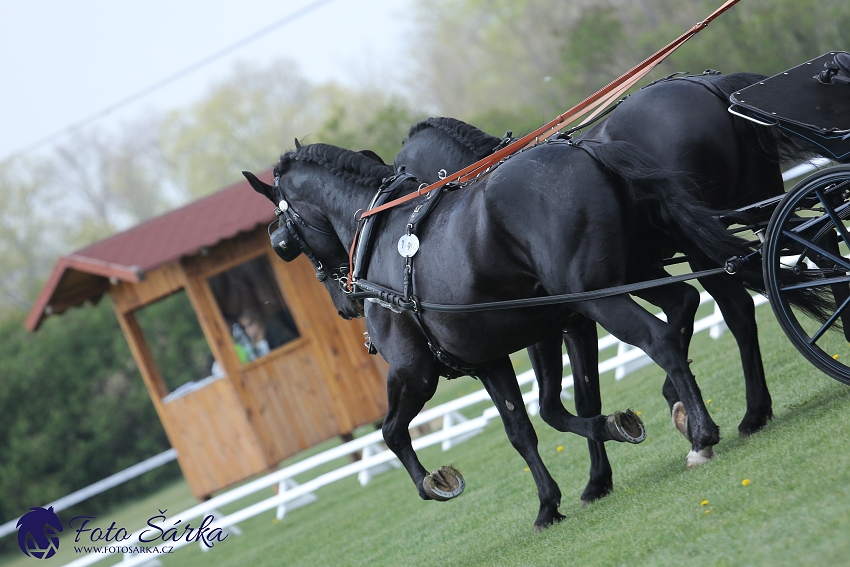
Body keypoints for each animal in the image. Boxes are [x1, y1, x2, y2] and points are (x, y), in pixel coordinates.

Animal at [242, 136, 760, 528]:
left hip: (599, 296)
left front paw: (434, 483)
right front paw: (554, 498)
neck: (383, 235)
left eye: (281, 243)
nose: (344, 301)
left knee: (661, 339)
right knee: (685, 303)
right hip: (631, 274)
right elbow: (526, 426)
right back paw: (685, 406)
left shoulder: (413, 372)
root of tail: (586, 149)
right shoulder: (491, 358)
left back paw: (701, 435)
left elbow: (391, 432)